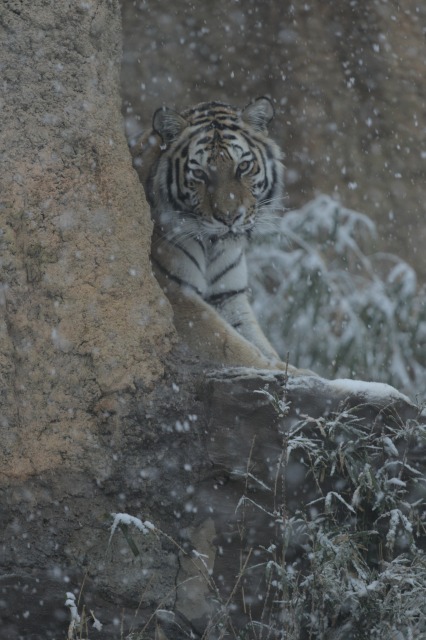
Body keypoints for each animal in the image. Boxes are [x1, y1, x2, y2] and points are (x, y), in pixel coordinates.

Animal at [131, 96, 308, 376]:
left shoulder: (228, 295)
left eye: (243, 166)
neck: (212, 247)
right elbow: (230, 344)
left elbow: (256, 339)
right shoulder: (174, 292)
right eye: (200, 174)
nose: (230, 217)